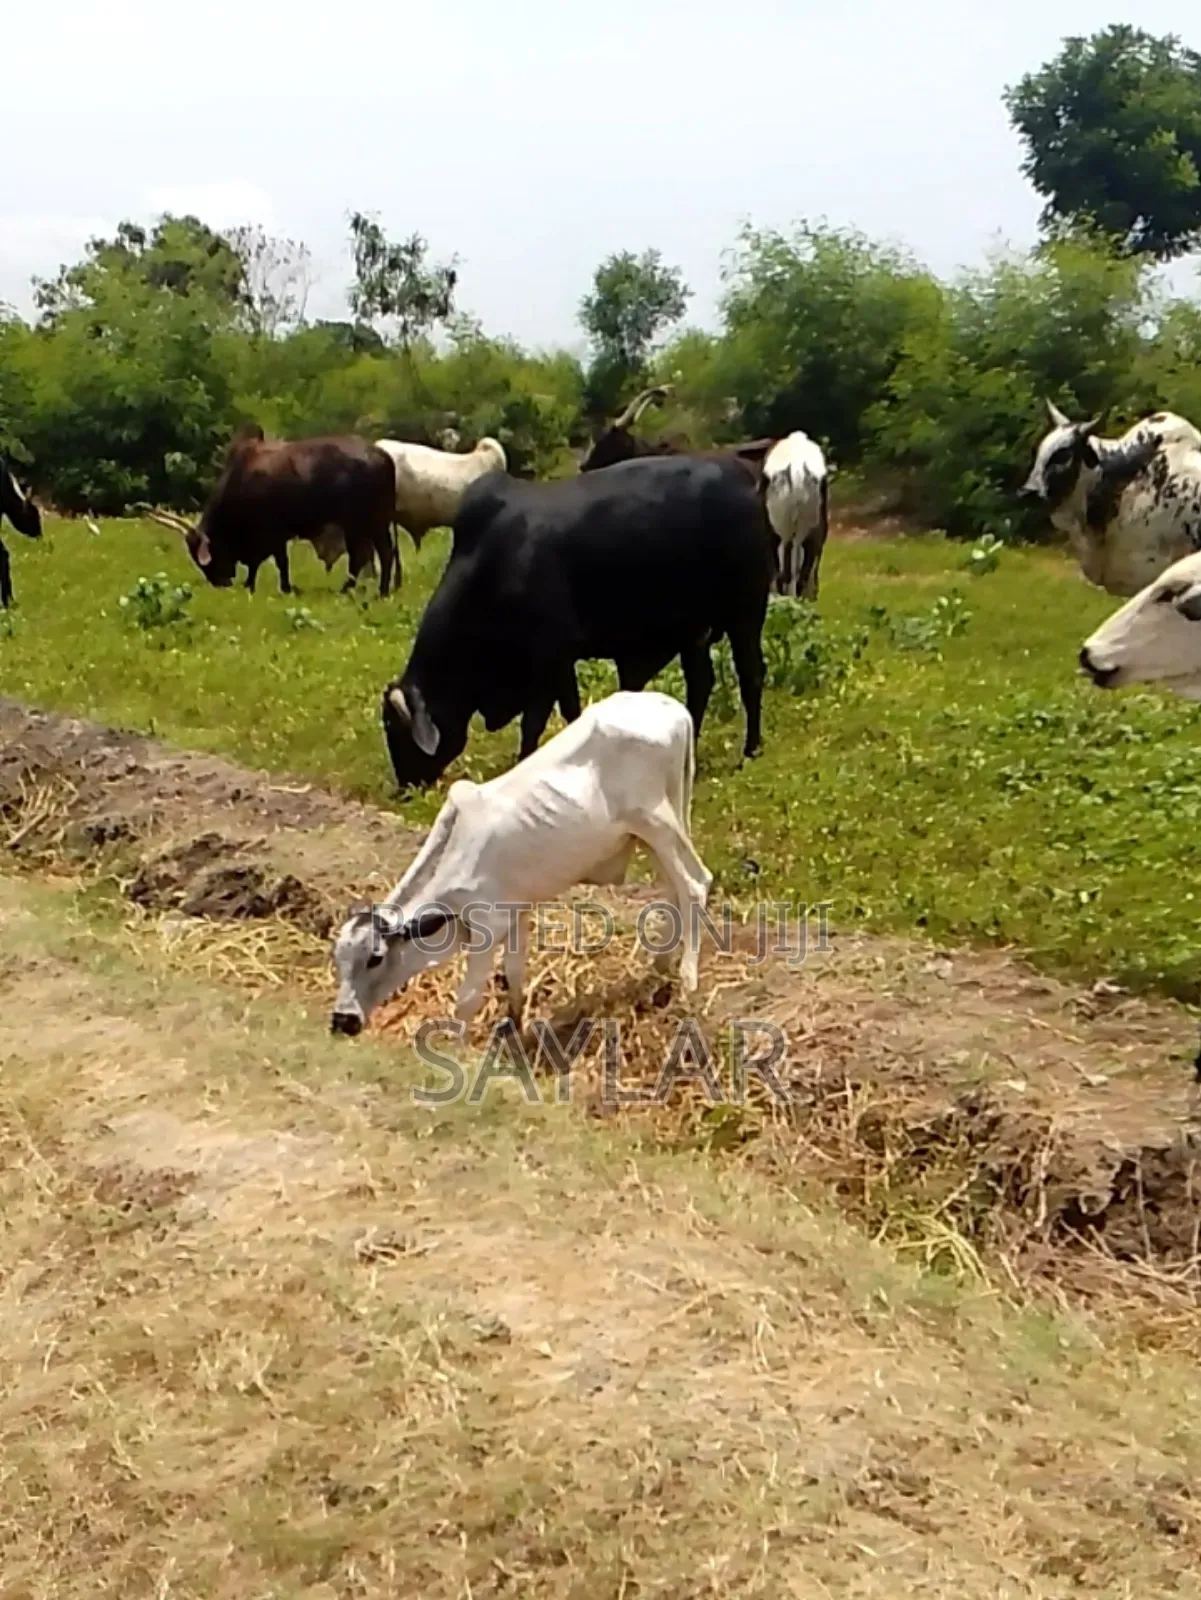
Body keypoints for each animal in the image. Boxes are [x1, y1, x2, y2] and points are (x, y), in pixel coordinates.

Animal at [145, 430, 398, 597]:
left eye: (206, 556)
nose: (220, 583)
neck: (241, 477)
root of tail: (380, 455)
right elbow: (259, 563)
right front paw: (252, 584)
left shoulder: (273, 532)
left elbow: (278, 562)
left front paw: (282, 588)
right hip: (371, 523)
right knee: (374, 554)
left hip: (364, 522)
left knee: (374, 554)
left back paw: (372, 591)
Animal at [330, 690, 712, 1036]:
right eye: (337, 958)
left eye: (375, 958)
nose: (342, 1021)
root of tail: (671, 707)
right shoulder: (517, 913)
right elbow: (514, 972)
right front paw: (513, 1026)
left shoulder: (487, 928)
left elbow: (467, 998)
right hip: (660, 827)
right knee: (673, 888)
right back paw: (660, 965)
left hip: (655, 821)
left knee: (695, 883)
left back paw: (687, 980)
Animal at [380, 452, 774, 789]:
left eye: (395, 730)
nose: (406, 787)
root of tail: (742, 475)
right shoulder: (560, 663)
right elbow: (571, 711)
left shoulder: (547, 657)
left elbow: (534, 722)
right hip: (693, 631)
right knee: (701, 684)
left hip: (745, 615)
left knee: (751, 676)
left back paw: (751, 750)